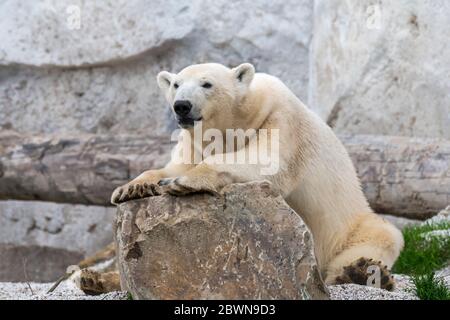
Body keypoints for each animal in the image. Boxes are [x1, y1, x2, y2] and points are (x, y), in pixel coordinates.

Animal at [110, 62, 404, 290]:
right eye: (175, 84)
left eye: (207, 84)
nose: (182, 105)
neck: (241, 116)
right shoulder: (193, 144)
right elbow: (174, 166)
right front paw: (131, 188)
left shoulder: (279, 118)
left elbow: (267, 160)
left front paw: (181, 182)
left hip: (350, 227)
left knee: (380, 238)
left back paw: (361, 272)